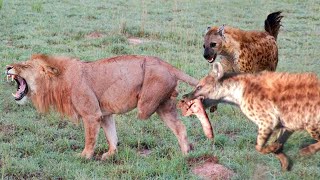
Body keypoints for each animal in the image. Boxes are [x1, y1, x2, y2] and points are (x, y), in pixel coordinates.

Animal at [5, 53, 210, 160]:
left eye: (25, 65)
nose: (7, 67)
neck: (58, 81)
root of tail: (166, 64)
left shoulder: (91, 114)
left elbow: (90, 138)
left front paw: (84, 156)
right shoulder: (104, 114)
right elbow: (112, 135)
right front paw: (111, 154)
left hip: (147, 104)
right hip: (163, 106)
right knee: (180, 127)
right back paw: (185, 154)